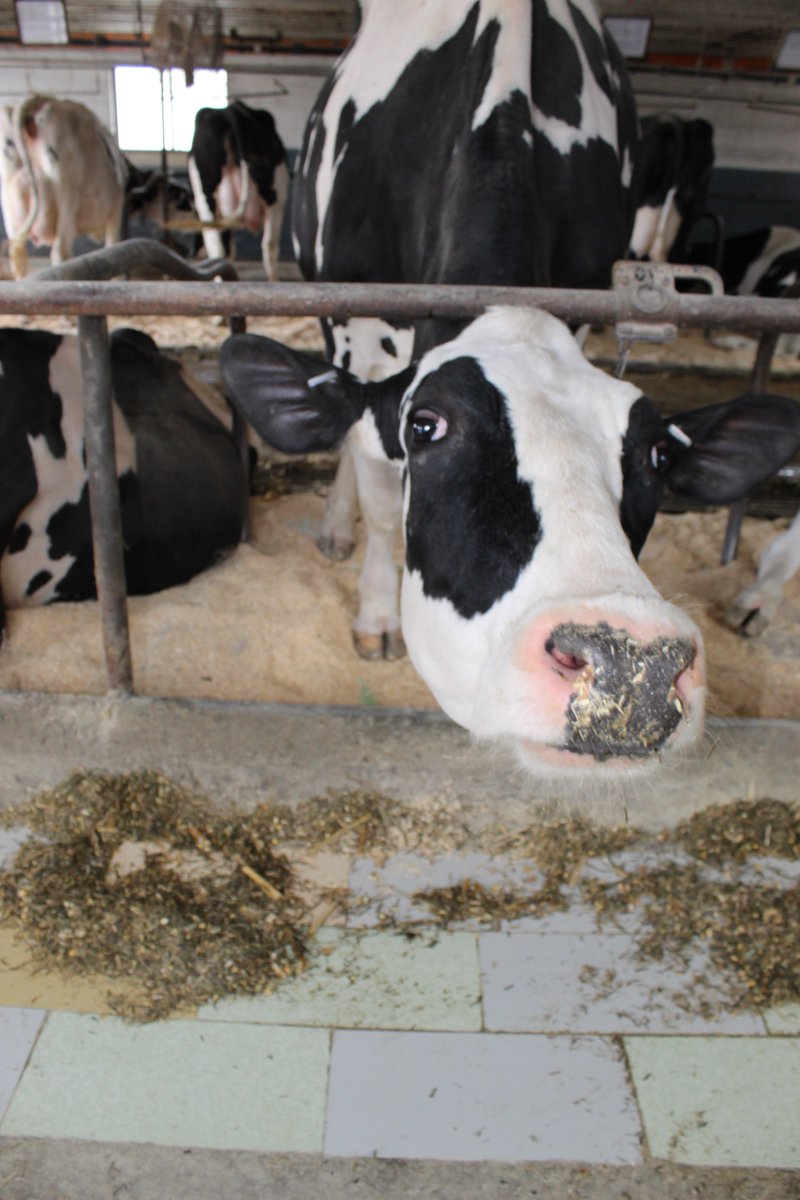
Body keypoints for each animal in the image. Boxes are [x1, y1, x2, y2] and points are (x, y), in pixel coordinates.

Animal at [0, 95, 128, 279]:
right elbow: (113, 246)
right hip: (68, 196)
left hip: (10, 200)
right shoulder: (115, 210)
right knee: (59, 250)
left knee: (17, 255)